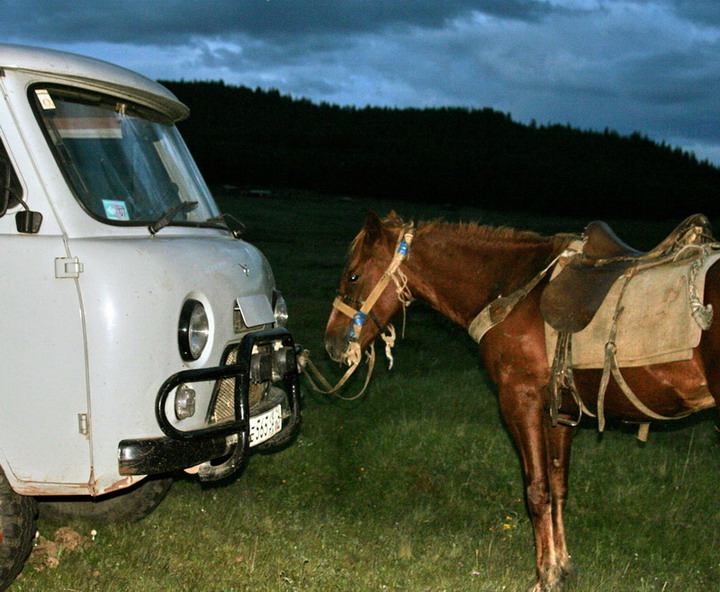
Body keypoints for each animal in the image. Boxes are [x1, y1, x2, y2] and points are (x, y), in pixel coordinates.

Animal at [324, 212, 720, 592]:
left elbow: (537, 491)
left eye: (354, 275)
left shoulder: (520, 401)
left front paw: (545, 576)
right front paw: (562, 568)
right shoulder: (559, 412)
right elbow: (558, 488)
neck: (511, 290)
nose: (331, 343)